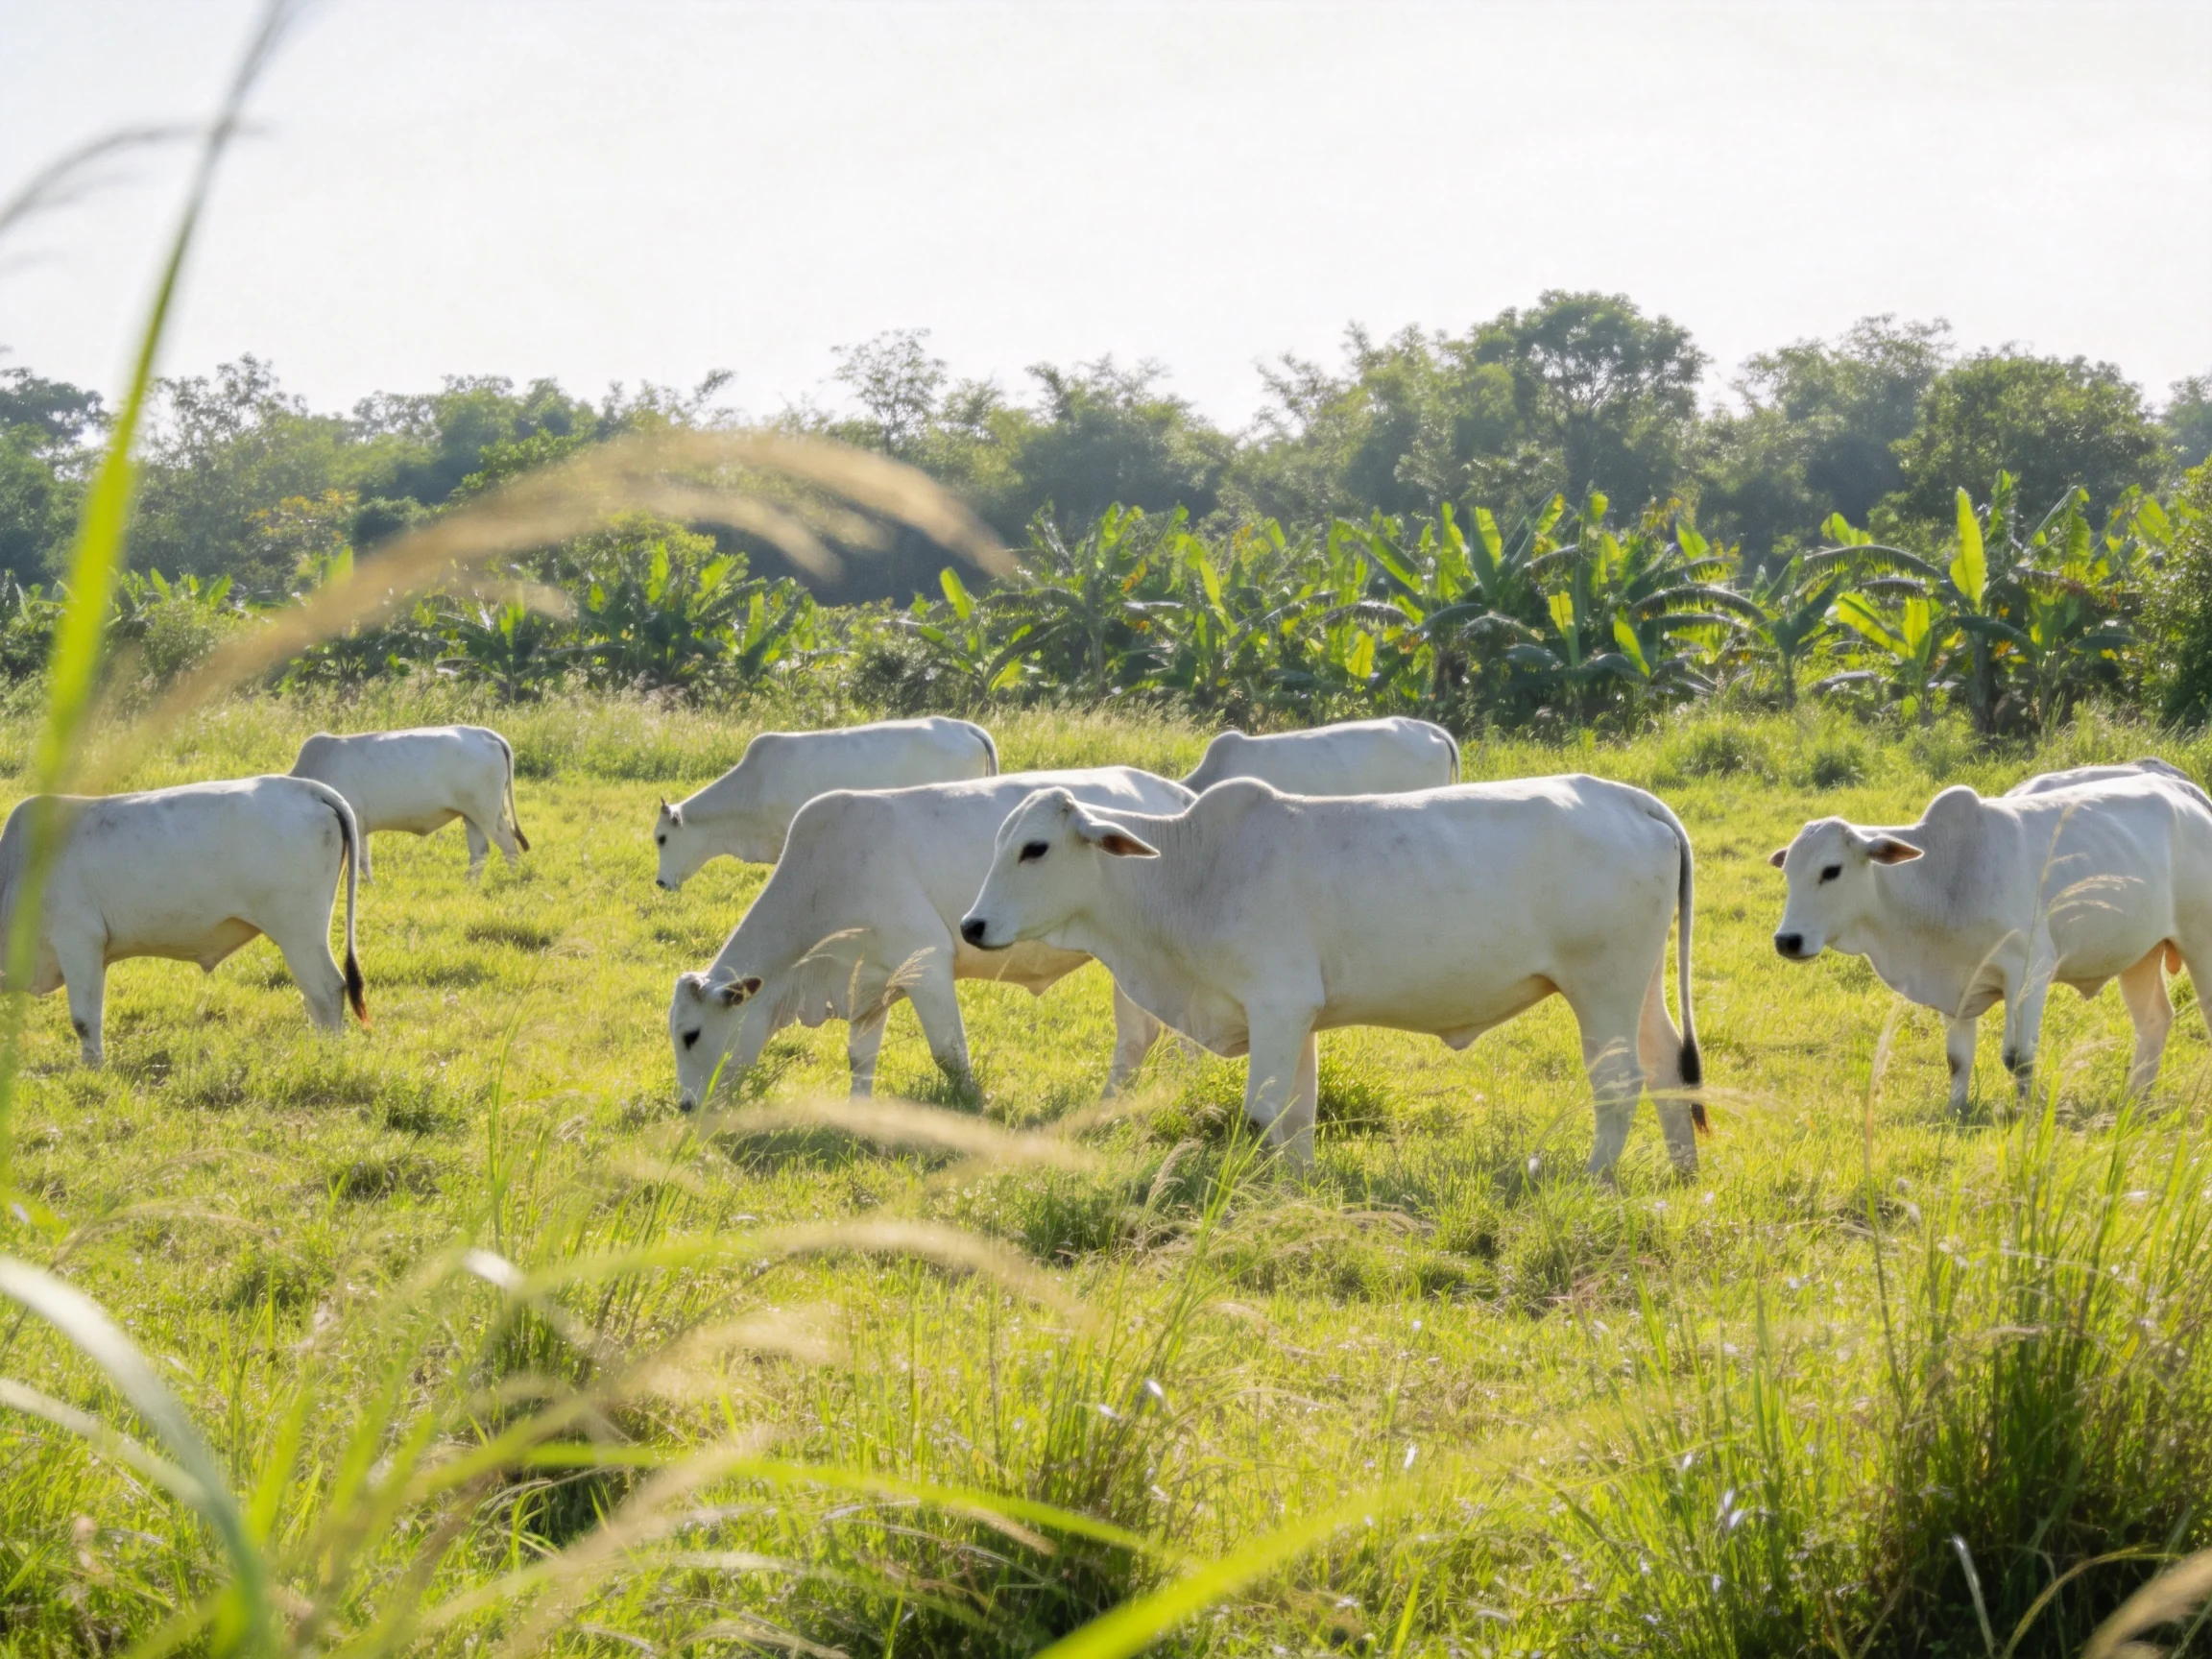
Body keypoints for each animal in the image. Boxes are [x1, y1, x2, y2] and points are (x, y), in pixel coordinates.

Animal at [0, 776, 367, 1065]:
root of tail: (305, 787)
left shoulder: (78, 942)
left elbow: (84, 1020)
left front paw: (91, 1067)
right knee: (313, 996)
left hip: (298, 930)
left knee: (326, 990)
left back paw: (327, 1054)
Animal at [290, 725, 527, 882]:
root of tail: (485, 734)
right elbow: (362, 860)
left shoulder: (354, 822)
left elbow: (358, 860)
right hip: (471, 815)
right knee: (480, 851)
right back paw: (470, 882)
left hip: (488, 812)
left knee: (508, 845)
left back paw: (512, 878)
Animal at [668, 767, 1192, 1111]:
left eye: (692, 1035)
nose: (686, 1106)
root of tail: (1179, 794)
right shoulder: (868, 983)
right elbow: (860, 1057)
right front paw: (857, 1113)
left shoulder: (926, 966)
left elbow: (949, 1053)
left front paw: (977, 1105)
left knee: (1138, 1037)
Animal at [957, 775, 1704, 1177]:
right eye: (998, 844)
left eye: (1035, 848)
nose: (972, 925)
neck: (1189, 872)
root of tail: (1628, 800)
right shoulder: (1299, 1018)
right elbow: (1298, 1113)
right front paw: (1302, 1188)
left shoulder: (1276, 1006)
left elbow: (1262, 1112)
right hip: (1638, 989)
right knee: (1667, 1064)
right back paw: (1682, 1173)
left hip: (1602, 987)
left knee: (1619, 1083)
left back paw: (1594, 1177)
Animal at [1768, 773, 2212, 1111]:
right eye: (1788, 871)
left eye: (1831, 870)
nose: (1787, 940)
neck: (1944, 876)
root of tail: (2184, 790)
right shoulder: (1955, 984)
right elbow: (1957, 1059)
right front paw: (1956, 1110)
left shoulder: (2030, 970)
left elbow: (2019, 1058)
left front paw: (2024, 1112)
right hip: (2141, 955)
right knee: (2154, 1020)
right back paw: (2136, 1099)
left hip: (2199, 942)